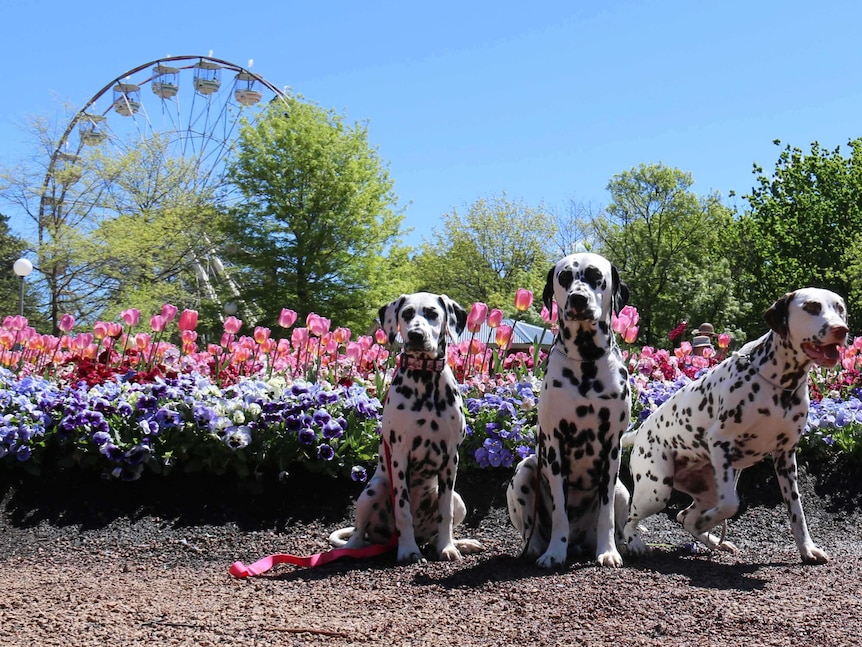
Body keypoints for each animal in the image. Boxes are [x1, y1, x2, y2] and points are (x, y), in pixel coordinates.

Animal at [330, 292, 482, 560]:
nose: (416, 335)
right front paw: (408, 550)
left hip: (459, 499)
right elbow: (403, 510)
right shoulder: (400, 455)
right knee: (358, 535)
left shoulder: (450, 459)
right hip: (374, 490)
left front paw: (448, 547)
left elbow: (445, 514)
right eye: (407, 313)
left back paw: (458, 543)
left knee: (439, 528)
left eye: (432, 313)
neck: (425, 383)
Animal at [506, 253, 636, 568]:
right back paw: (536, 547)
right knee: (530, 528)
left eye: (595, 276)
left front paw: (608, 551)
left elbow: (607, 515)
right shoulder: (554, 446)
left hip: (622, 490)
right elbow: (560, 512)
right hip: (524, 472)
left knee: (623, 523)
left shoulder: (611, 448)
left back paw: (631, 545)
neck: (586, 361)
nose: (578, 298)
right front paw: (555, 552)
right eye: (564, 277)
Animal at [620, 286, 852, 564]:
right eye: (812, 307)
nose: (841, 329)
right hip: (656, 489)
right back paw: (636, 543)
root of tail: (640, 432)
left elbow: (797, 513)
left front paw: (807, 548)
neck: (777, 384)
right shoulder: (721, 443)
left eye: (840, 308)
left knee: (683, 517)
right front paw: (707, 522)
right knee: (630, 520)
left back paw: (713, 541)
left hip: (705, 490)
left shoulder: (785, 458)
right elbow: (731, 504)